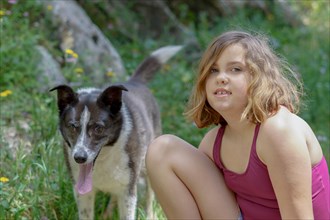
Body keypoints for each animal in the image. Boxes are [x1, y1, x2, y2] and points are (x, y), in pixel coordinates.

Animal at [50, 45, 182, 219]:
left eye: (98, 128)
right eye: (72, 126)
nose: (79, 158)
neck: (103, 159)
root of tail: (135, 81)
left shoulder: (128, 192)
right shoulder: (83, 193)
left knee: (149, 194)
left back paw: (149, 214)